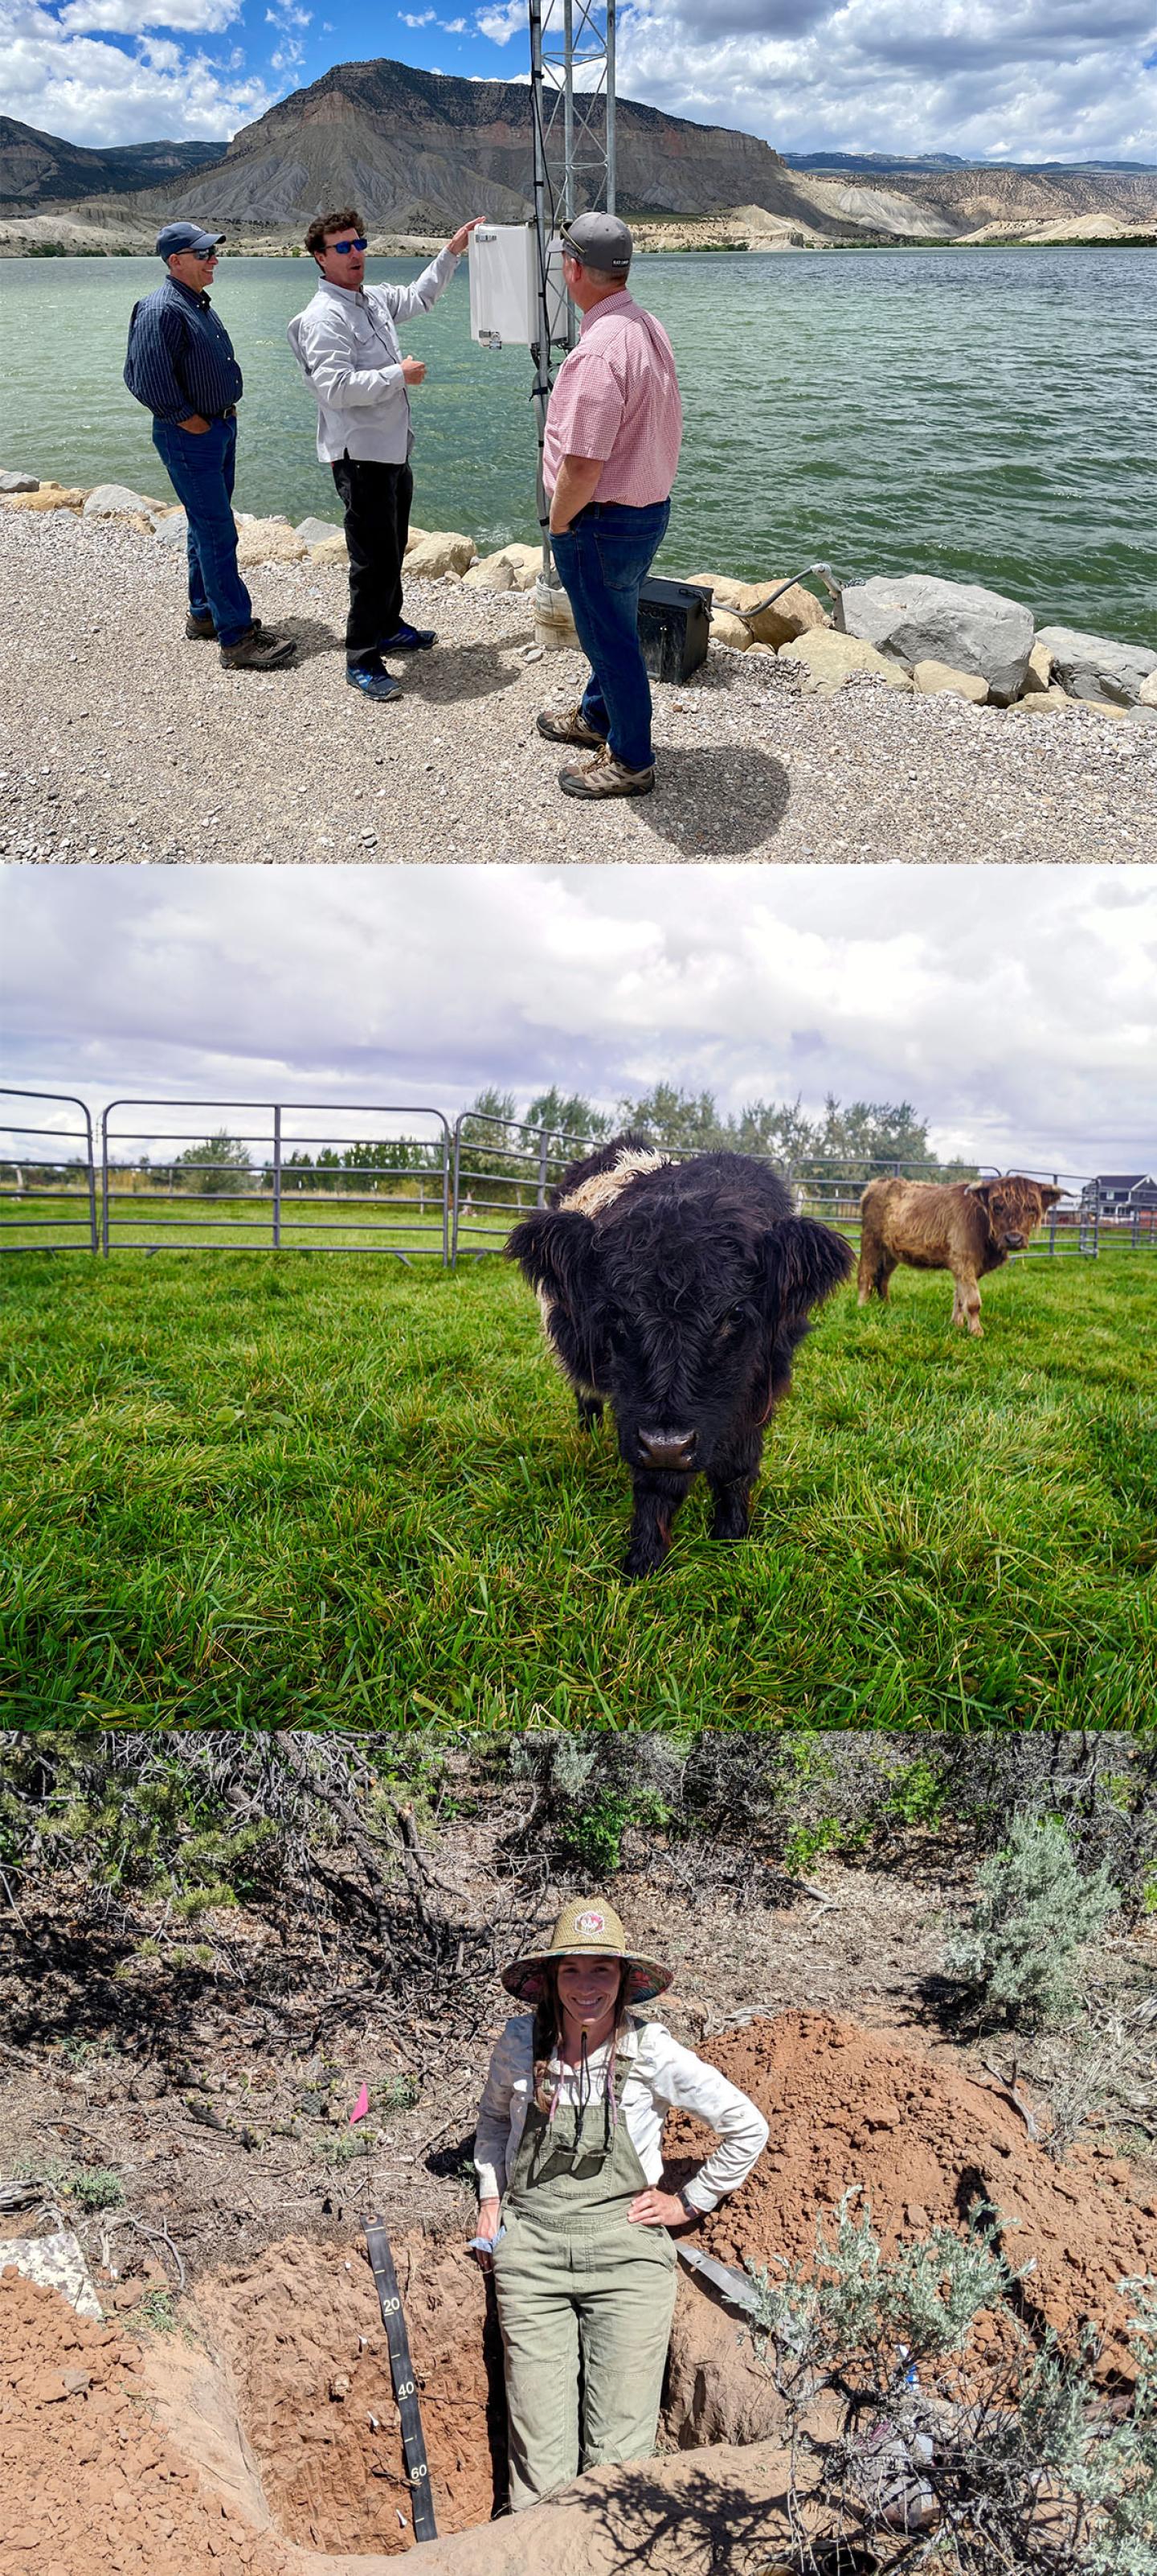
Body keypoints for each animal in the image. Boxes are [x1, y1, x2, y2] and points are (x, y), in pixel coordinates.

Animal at [502, 1138, 844, 1576]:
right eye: (616, 1313)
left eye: (735, 1314)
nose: (668, 1444)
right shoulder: (638, 1413)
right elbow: (656, 1483)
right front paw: (643, 1561)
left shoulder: (760, 1386)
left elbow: (738, 1467)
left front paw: (732, 1537)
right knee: (587, 1397)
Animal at [850, 1179, 1061, 1339]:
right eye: (997, 1207)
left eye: (1031, 1209)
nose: (1014, 1239)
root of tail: (875, 1185)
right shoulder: (964, 1261)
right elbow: (973, 1301)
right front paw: (977, 1331)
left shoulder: (969, 1267)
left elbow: (960, 1297)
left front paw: (956, 1324)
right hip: (871, 1241)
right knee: (866, 1274)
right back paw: (861, 1305)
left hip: (891, 1252)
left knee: (883, 1277)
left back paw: (886, 1305)